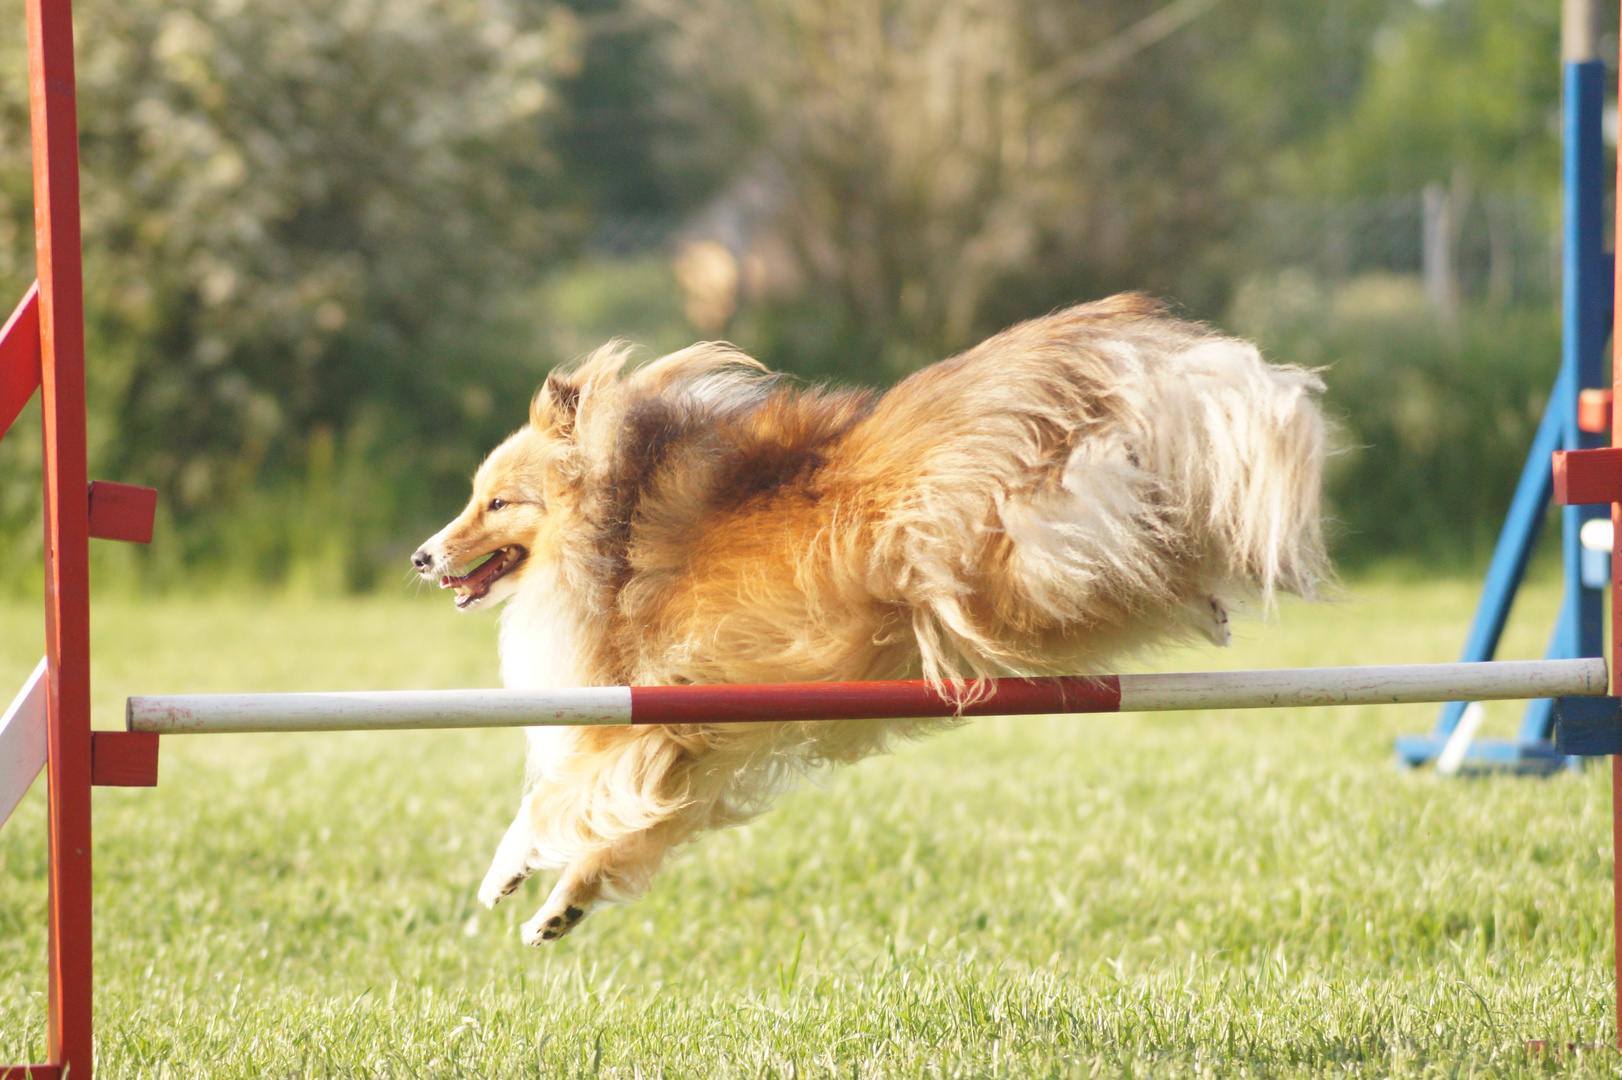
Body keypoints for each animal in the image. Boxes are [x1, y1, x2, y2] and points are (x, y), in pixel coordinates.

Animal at [411, 295, 1323, 940]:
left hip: (1006, 571)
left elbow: (554, 798)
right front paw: (561, 907)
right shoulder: (696, 750)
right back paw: (1210, 596)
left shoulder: (642, 719)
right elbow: (628, 825)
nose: (421, 557)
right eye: (474, 496)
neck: (609, 521)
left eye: (496, 502)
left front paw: (506, 874)